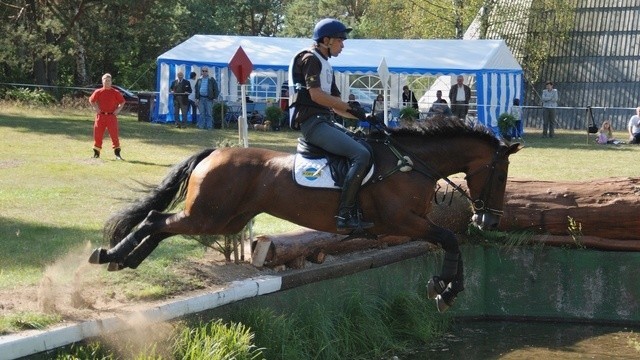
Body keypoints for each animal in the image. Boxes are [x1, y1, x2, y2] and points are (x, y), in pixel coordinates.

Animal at [89, 118, 520, 312]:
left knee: (162, 227)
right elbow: (449, 240)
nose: (490, 222)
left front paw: (446, 287)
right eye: (500, 175)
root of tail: (215, 152)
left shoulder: (411, 225)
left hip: (225, 219)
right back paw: (111, 255)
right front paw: (445, 288)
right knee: (155, 221)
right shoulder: (403, 222)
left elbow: (453, 243)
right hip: (210, 216)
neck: (413, 162)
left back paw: (124, 260)